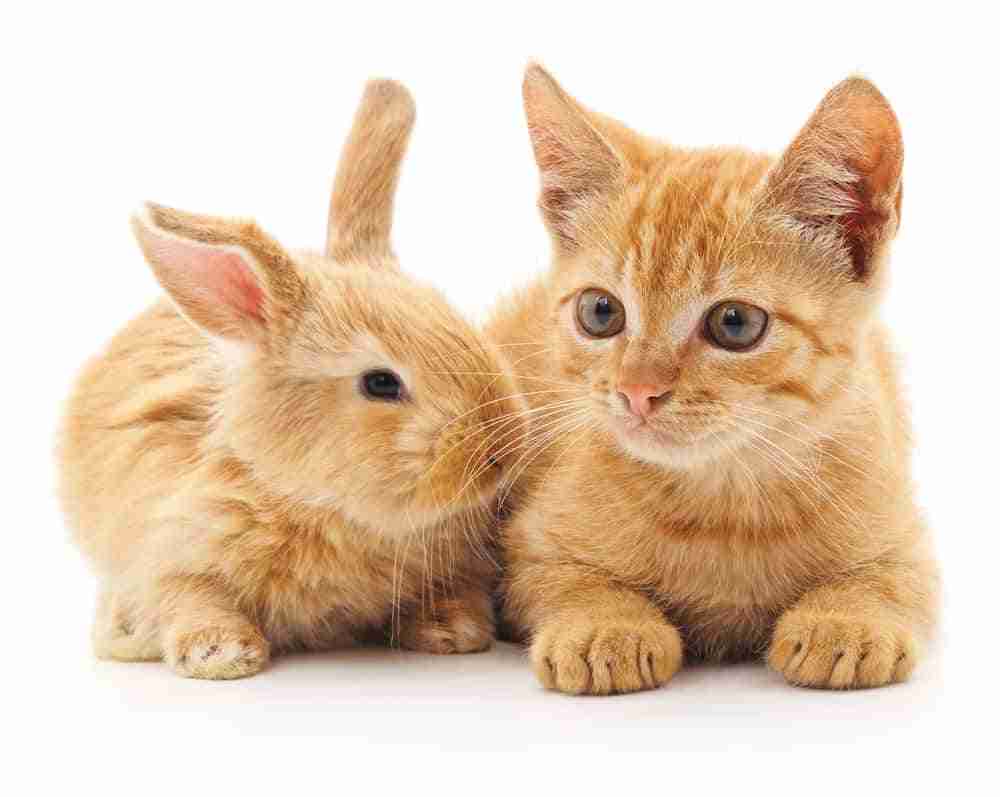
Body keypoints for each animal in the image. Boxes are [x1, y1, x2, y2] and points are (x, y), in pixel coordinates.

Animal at [58, 79, 524, 676]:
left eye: (461, 324)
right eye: (381, 384)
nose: (502, 453)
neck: (314, 501)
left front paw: (453, 631)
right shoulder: (170, 547)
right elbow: (191, 597)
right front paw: (222, 654)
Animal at [488, 65, 940, 692]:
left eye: (735, 323)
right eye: (600, 312)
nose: (637, 390)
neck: (726, 501)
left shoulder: (909, 538)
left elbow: (891, 577)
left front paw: (844, 619)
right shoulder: (529, 542)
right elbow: (565, 577)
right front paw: (607, 627)